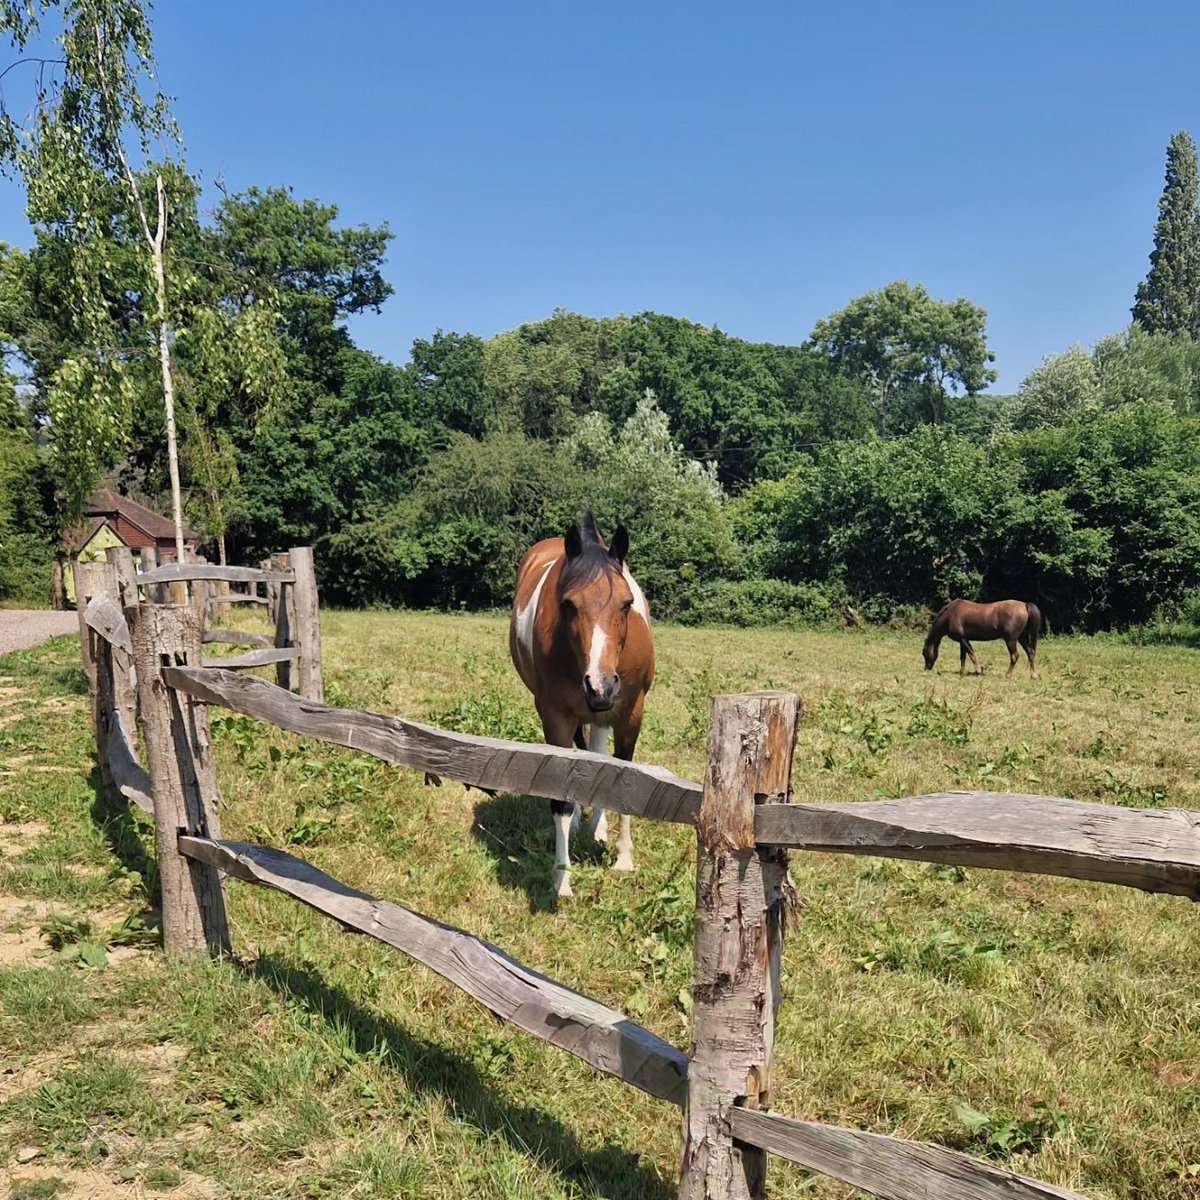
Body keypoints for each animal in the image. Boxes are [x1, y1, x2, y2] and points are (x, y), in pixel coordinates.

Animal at [509, 513, 655, 899]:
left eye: (626, 604)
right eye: (569, 604)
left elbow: (623, 778)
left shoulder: (631, 711)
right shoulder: (556, 716)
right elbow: (560, 796)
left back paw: (598, 829)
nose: (600, 685)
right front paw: (561, 879)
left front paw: (624, 859)